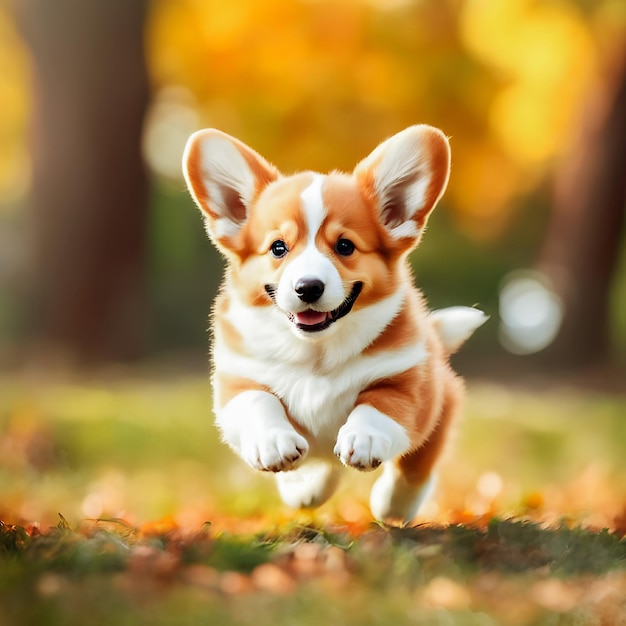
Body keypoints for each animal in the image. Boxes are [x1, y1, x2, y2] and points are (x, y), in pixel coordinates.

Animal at [183, 125, 486, 520]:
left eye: (345, 246)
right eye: (278, 248)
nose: (308, 287)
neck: (316, 354)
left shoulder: (411, 383)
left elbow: (379, 406)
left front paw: (364, 438)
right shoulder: (238, 379)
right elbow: (258, 403)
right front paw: (275, 444)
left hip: (441, 399)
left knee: (416, 465)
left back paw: (394, 504)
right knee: (322, 464)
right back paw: (304, 488)